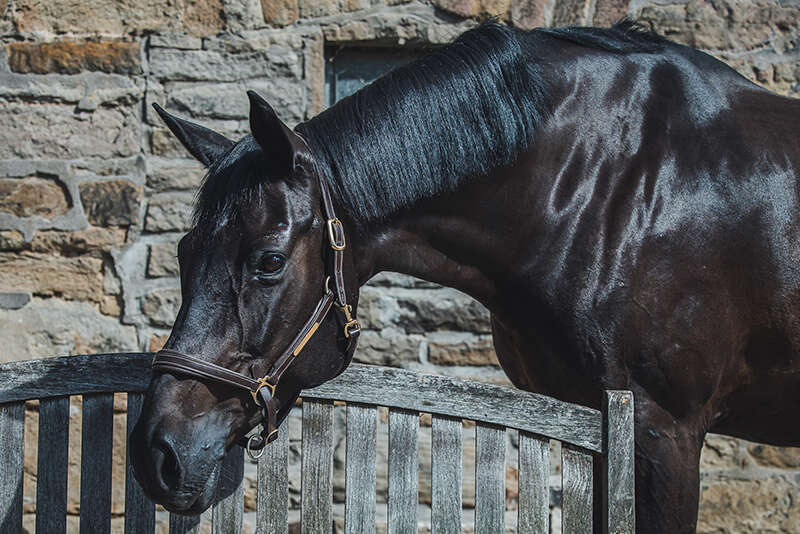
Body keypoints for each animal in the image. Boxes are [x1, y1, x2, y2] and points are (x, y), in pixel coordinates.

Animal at [129, 21, 800, 533]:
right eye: (184, 253)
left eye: (268, 261)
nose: (156, 454)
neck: (616, 190)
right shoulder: (596, 432)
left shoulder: (666, 432)